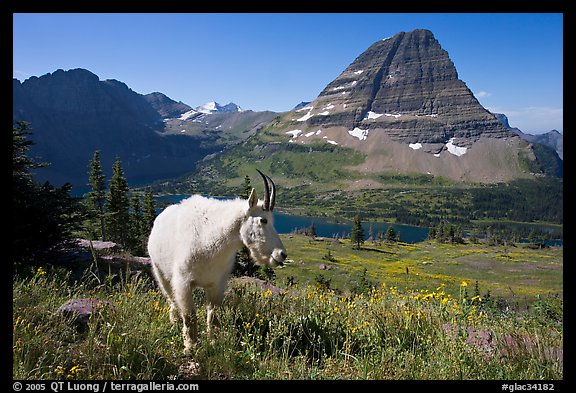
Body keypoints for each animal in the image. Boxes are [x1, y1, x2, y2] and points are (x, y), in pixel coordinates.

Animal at [146, 170, 286, 350]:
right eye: (263, 220)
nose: (281, 254)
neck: (214, 240)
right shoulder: (183, 282)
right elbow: (190, 315)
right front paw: (191, 346)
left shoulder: (216, 284)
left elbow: (213, 315)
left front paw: (213, 342)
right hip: (160, 272)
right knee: (171, 298)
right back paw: (174, 321)